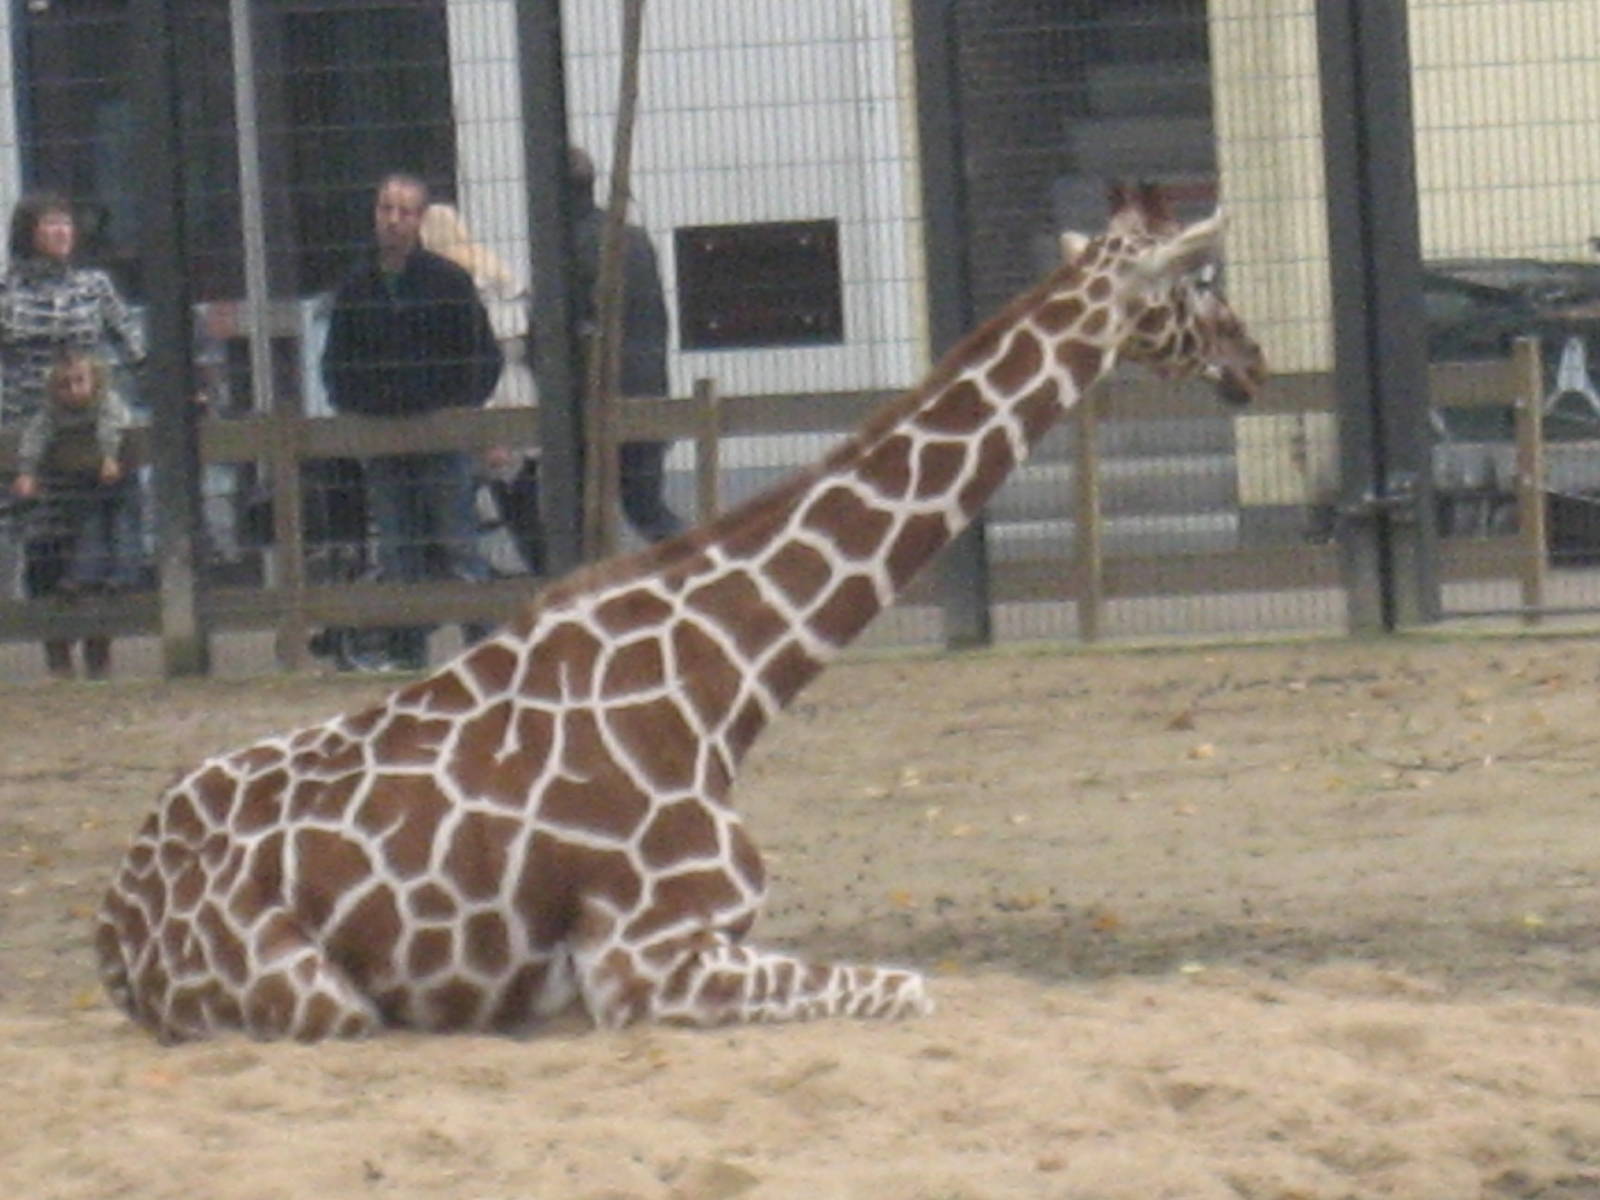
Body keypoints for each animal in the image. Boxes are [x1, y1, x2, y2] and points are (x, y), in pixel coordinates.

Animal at [96, 183, 1265, 1041]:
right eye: (1199, 278)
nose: (1251, 359)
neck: (722, 685)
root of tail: (114, 931)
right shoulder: (643, 960)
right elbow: (913, 987)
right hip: (318, 999)